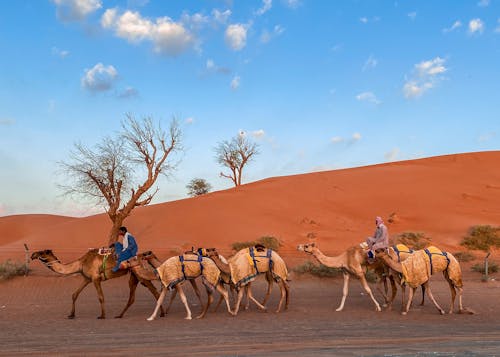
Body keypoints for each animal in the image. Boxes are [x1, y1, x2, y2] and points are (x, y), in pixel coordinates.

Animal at [30, 248, 164, 318]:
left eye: (41, 252)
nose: (32, 254)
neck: (81, 263)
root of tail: (142, 256)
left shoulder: (95, 278)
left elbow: (100, 297)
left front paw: (102, 315)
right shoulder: (87, 278)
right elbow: (74, 294)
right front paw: (71, 314)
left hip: (140, 274)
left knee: (155, 292)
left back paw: (162, 313)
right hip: (134, 276)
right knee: (132, 297)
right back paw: (119, 315)